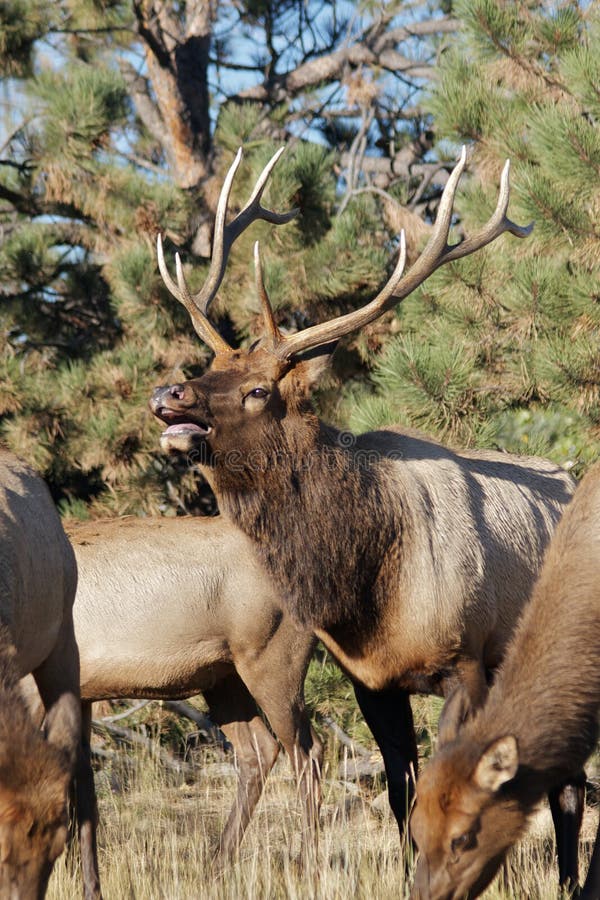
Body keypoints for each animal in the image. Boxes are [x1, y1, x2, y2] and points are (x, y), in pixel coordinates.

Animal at [148, 146, 582, 885]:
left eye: (259, 390)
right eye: (209, 364)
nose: (168, 394)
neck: (369, 588)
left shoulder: (466, 657)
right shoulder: (371, 680)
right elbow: (399, 788)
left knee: (572, 790)